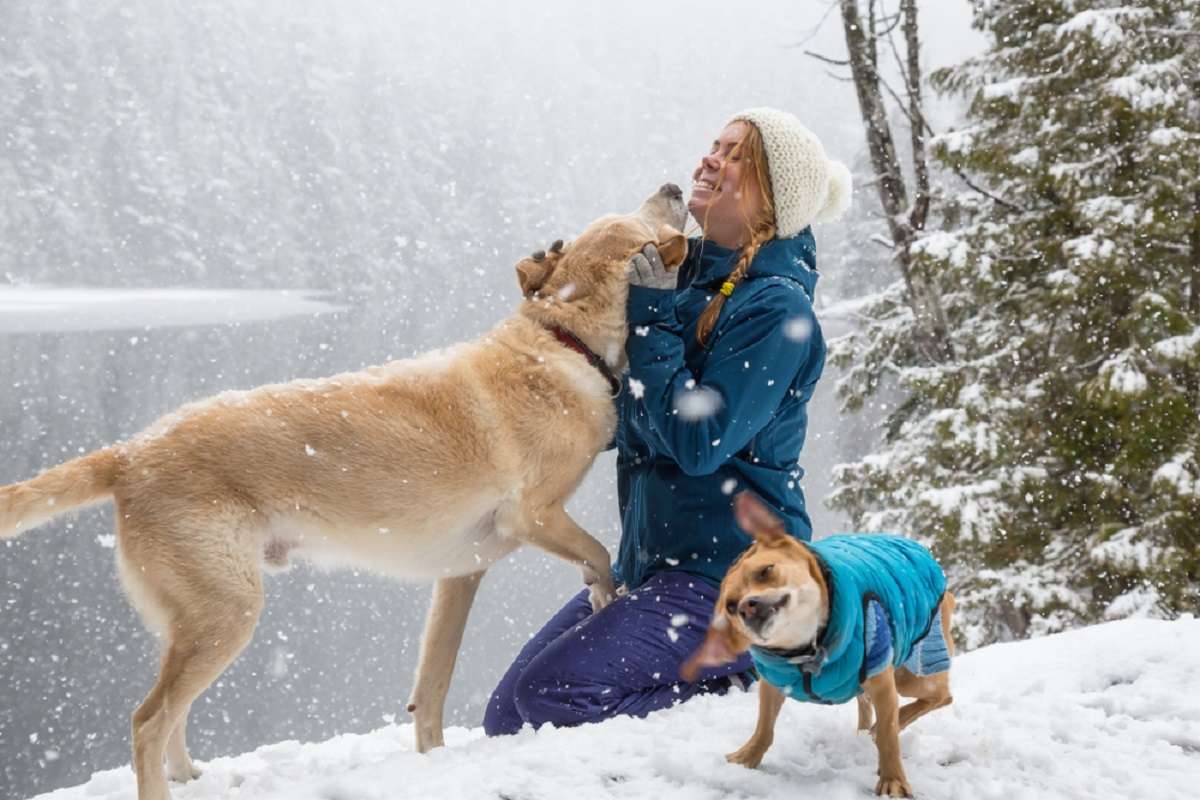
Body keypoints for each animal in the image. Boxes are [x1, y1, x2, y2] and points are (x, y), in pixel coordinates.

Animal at [0, 183, 691, 800]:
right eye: (637, 219)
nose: (675, 186)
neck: (562, 341)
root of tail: (130, 452)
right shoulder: (536, 514)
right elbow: (599, 552)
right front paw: (602, 593)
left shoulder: (459, 575)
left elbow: (433, 688)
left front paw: (433, 760)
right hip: (228, 612)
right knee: (148, 719)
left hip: (197, 619)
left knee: (170, 713)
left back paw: (190, 776)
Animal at [686, 491, 955, 796]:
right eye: (730, 606)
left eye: (766, 571)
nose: (747, 606)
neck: (805, 647)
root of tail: (921, 551)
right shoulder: (772, 684)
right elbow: (764, 727)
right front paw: (747, 758)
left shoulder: (882, 682)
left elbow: (888, 734)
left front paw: (893, 780)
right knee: (866, 703)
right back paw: (863, 733)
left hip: (911, 672)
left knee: (940, 696)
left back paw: (882, 727)